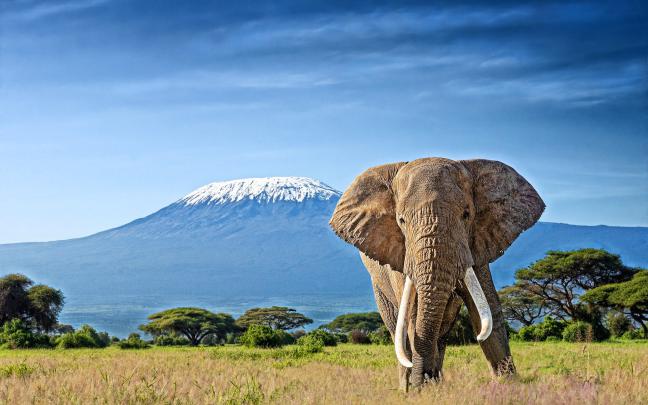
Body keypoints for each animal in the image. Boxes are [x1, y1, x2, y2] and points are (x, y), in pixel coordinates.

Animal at [329, 157, 544, 390]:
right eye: (401, 220)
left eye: (466, 214)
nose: (422, 380)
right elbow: (413, 315)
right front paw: (419, 390)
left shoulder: (477, 243)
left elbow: (488, 309)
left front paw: (509, 386)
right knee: (398, 328)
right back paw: (407, 386)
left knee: (441, 332)